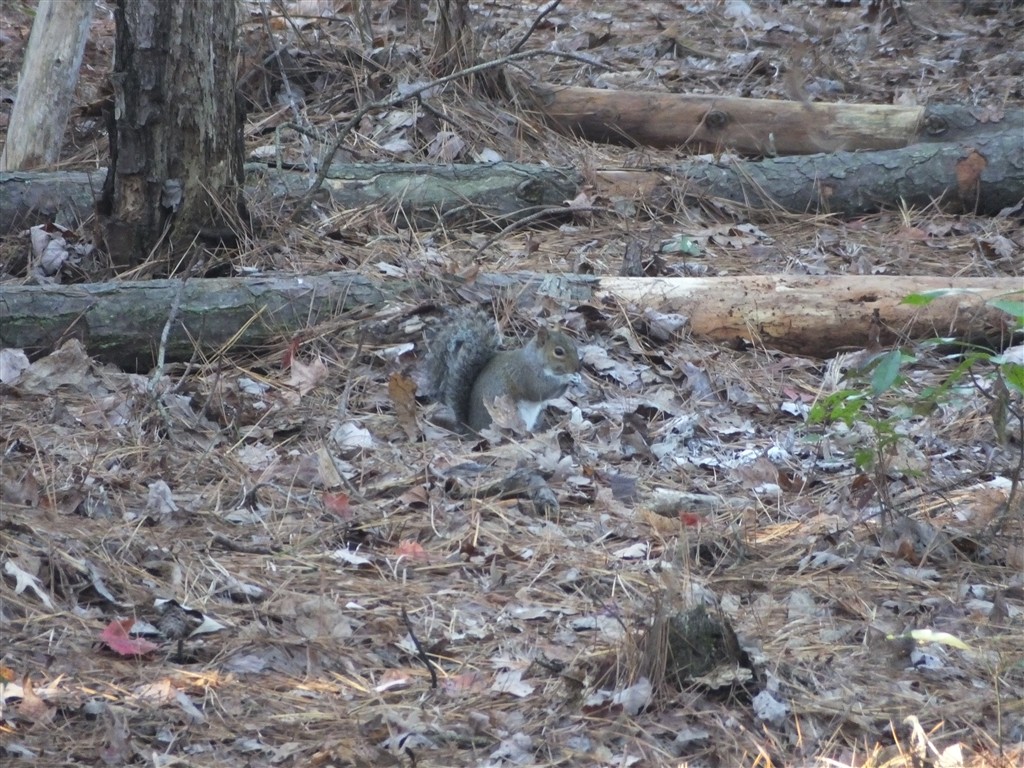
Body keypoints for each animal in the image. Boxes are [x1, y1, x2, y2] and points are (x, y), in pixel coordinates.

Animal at [424, 311, 581, 433]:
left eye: (573, 344)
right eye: (558, 352)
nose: (577, 368)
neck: (536, 360)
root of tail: (473, 431)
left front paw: (576, 378)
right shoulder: (527, 375)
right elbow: (541, 390)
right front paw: (567, 378)